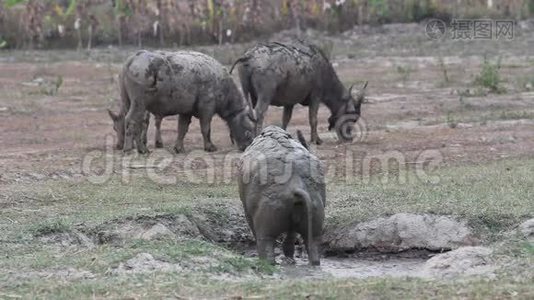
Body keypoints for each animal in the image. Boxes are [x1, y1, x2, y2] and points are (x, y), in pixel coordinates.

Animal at [108, 50, 256, 154]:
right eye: (249, 131)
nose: (246, 147)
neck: (222, 86)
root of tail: (131, 60)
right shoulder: (207, 108)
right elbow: (206, 128)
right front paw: (209, 147)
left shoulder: (186, 111)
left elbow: (182, 129)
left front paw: (179, 148)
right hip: (139, 103)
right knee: (132, 120)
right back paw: (132, 149)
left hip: (128, 101)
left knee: (135, 121)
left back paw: (139, 148)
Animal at [230, 39, 368, 145]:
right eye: (352, 117)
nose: (349, 139)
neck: (323, 71)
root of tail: (248, 56)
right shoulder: (316, 96)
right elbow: (313, 119)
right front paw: (316, 140)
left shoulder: (289, 103)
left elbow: (285, 119)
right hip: (265, 95)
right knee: (259, 112)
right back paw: (256, 136)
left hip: (247, 92)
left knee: (244, 113)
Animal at [239, 126, 326, 264]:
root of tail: (296, 186)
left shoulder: (247, 210)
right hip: (315, 215)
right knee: (312, 243)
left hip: (267, 219)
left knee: (266, 243)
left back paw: (266, 262)